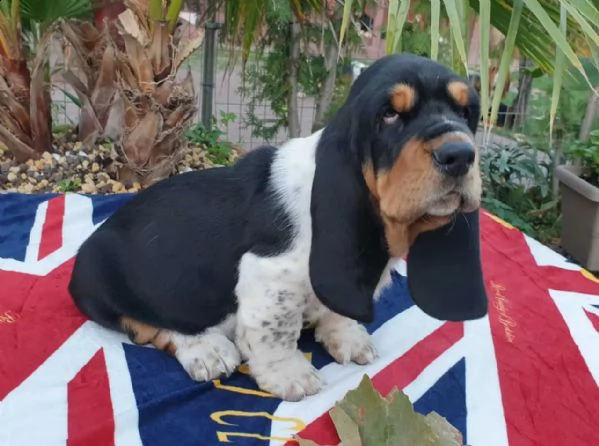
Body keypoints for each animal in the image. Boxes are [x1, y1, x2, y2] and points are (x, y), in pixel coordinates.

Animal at [68, 54, 490, 402]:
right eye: (389, 114)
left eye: (466, 111)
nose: (459, 155)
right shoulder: (271, 275)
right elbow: (275, 332)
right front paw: (290, 375)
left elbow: (336, 310)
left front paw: (346, 336)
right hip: (110, 286)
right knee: (149, 325)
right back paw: (206, 349)